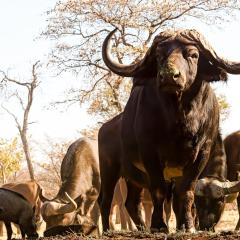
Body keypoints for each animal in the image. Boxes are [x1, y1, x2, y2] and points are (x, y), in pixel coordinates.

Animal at [98, 28, 240, 232]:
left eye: (193, 55)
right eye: (159, 56)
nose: (169, 75)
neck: (180, 120)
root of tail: (105, 127)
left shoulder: (202, 153)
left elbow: (185, 192)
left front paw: (186, 226)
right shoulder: (150, 154)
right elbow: (159, 190)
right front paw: (159, 226)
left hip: (133, 178)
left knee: (131, 202)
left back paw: (142, 228)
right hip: (109, 169)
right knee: (105, 200)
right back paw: (109, 229)